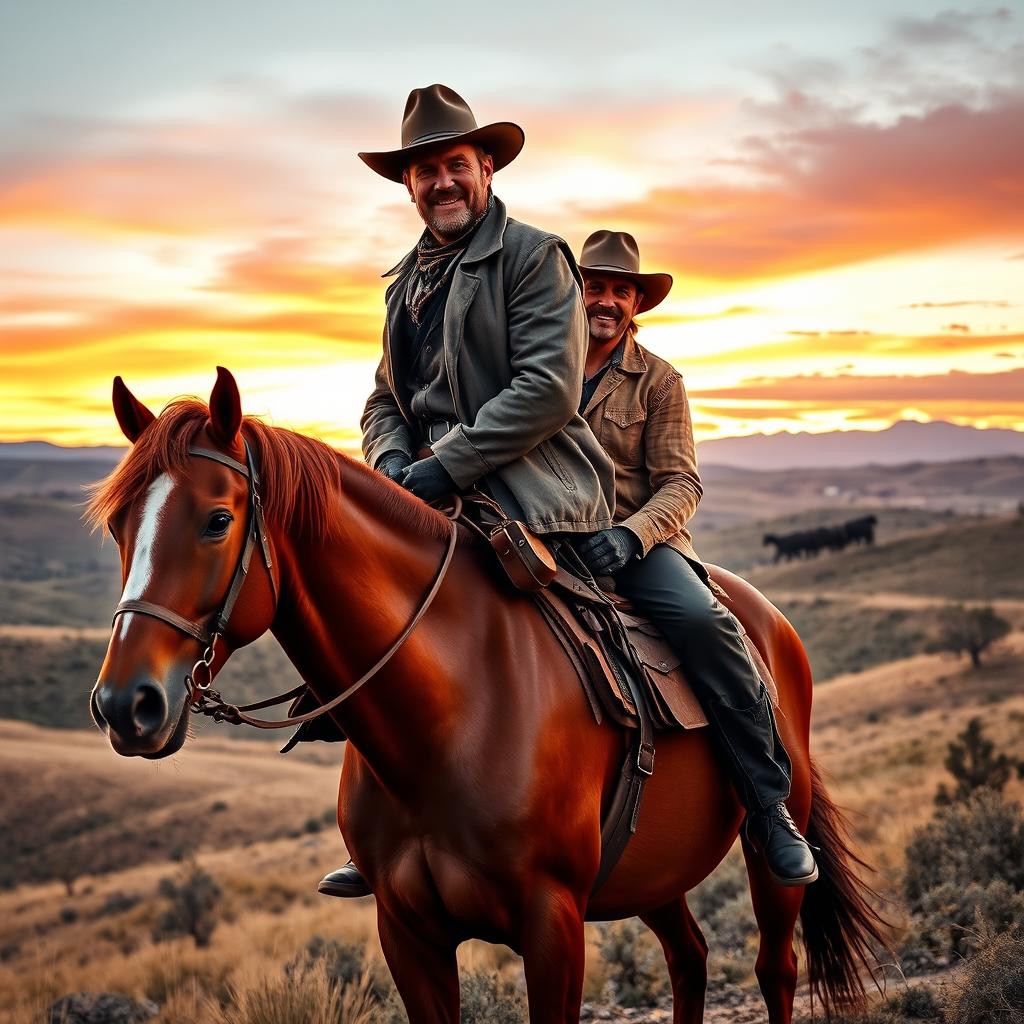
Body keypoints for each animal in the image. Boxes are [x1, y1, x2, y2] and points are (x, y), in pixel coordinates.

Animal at [88, 370, 884, 1024]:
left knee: (775, 967)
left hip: (771, 856)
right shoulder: (408, 933)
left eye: (218, 520)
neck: (451, 712)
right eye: (119, 526)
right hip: (653, 873)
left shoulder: (553, 923)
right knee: (689, 959)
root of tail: (770, 620)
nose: (126, 705)